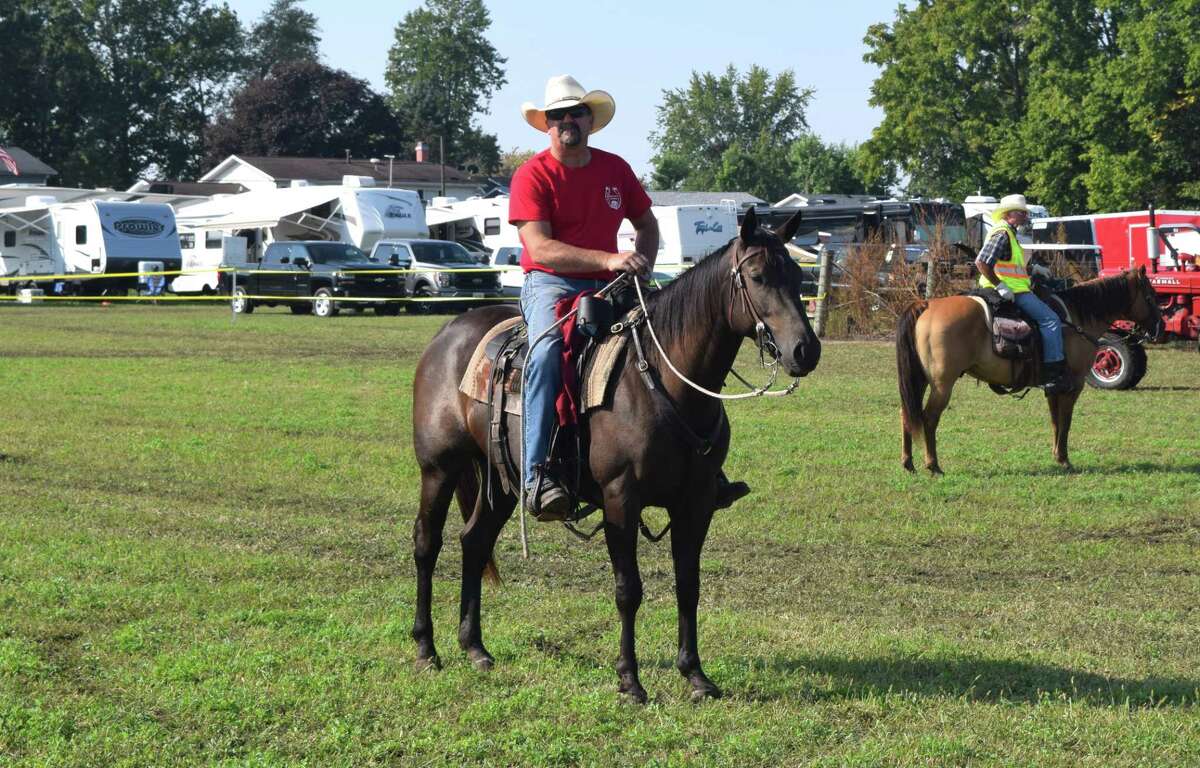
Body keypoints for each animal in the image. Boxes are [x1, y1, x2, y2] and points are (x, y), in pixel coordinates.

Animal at [408, 210, 820, 700]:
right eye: (757, 276)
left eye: (796, 275)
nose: (805, 350)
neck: (661, 381)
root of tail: (447, 335)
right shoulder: (620, 498)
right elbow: (629, 590)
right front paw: (630, 680)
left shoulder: (696, 502)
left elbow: (688, 585)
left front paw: (695, 674)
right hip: (439, 468)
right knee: (427, 543)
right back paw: (426, 649)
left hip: (502, 480)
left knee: (474, 543)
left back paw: (475, 648)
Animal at [902, 270, 1161, 475]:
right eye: (1151, 296)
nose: (1159, 327)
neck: (1078, 318)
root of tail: (927, 305)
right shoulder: (1074, 385)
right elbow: (1066, 421)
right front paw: (1064, 460)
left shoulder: (1054, 388)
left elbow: (1056, 421)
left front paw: (1057, 456)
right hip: (942, 384)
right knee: (928, 418)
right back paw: (933, 465)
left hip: (920, 380)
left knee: (907, 414)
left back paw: (908, 463)